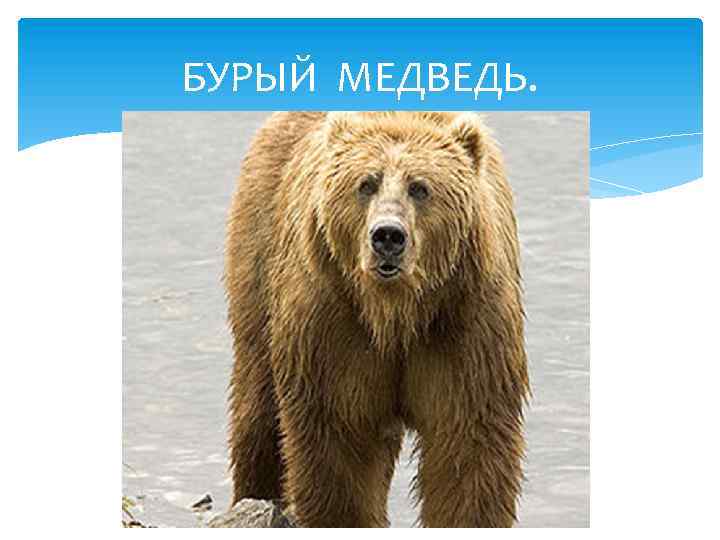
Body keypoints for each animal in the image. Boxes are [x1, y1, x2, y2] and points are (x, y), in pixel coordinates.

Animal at [223, 111, 529, 528]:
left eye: (420, 187)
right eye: (366, 183)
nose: (387, 236)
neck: (396, 312)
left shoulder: (466, 322)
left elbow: (468, 443)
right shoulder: (333, 323)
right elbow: (338, 441)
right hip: (259, 254)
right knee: (259, 406)